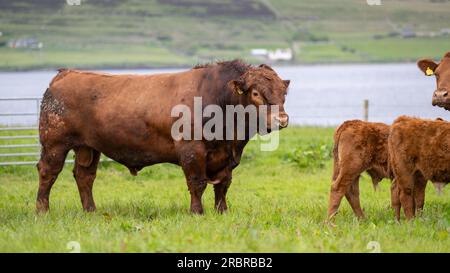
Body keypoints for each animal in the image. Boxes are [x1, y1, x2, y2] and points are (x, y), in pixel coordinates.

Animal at [35, 60, 290, 215]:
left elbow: (223, 185)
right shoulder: (192, 151)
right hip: (54, 143)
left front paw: (222, 212)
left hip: (88, 147)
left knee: (84, 176)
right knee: (48, 172)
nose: (282, 120)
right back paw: (42, 210)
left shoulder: (226, 156)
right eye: (256, 93)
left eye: (283, 93)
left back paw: (91, 211)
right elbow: (197, 183)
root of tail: (66, 74)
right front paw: (197, 212)